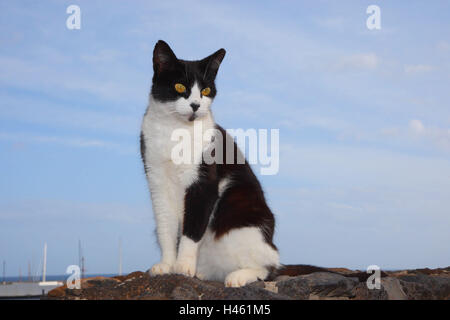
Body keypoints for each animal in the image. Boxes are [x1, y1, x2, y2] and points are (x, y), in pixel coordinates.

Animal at [142, 40, 282, 288]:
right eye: (180, 86)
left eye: (205, 90)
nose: (196, 105)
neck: (174, 131)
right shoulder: (157, 181)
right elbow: (165, 227)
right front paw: (167, 265)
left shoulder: (204, 184)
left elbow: (191, 229)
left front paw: (183, 266)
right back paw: (203, 273)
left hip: (242, 224)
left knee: (269, 266)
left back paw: (237, 276)